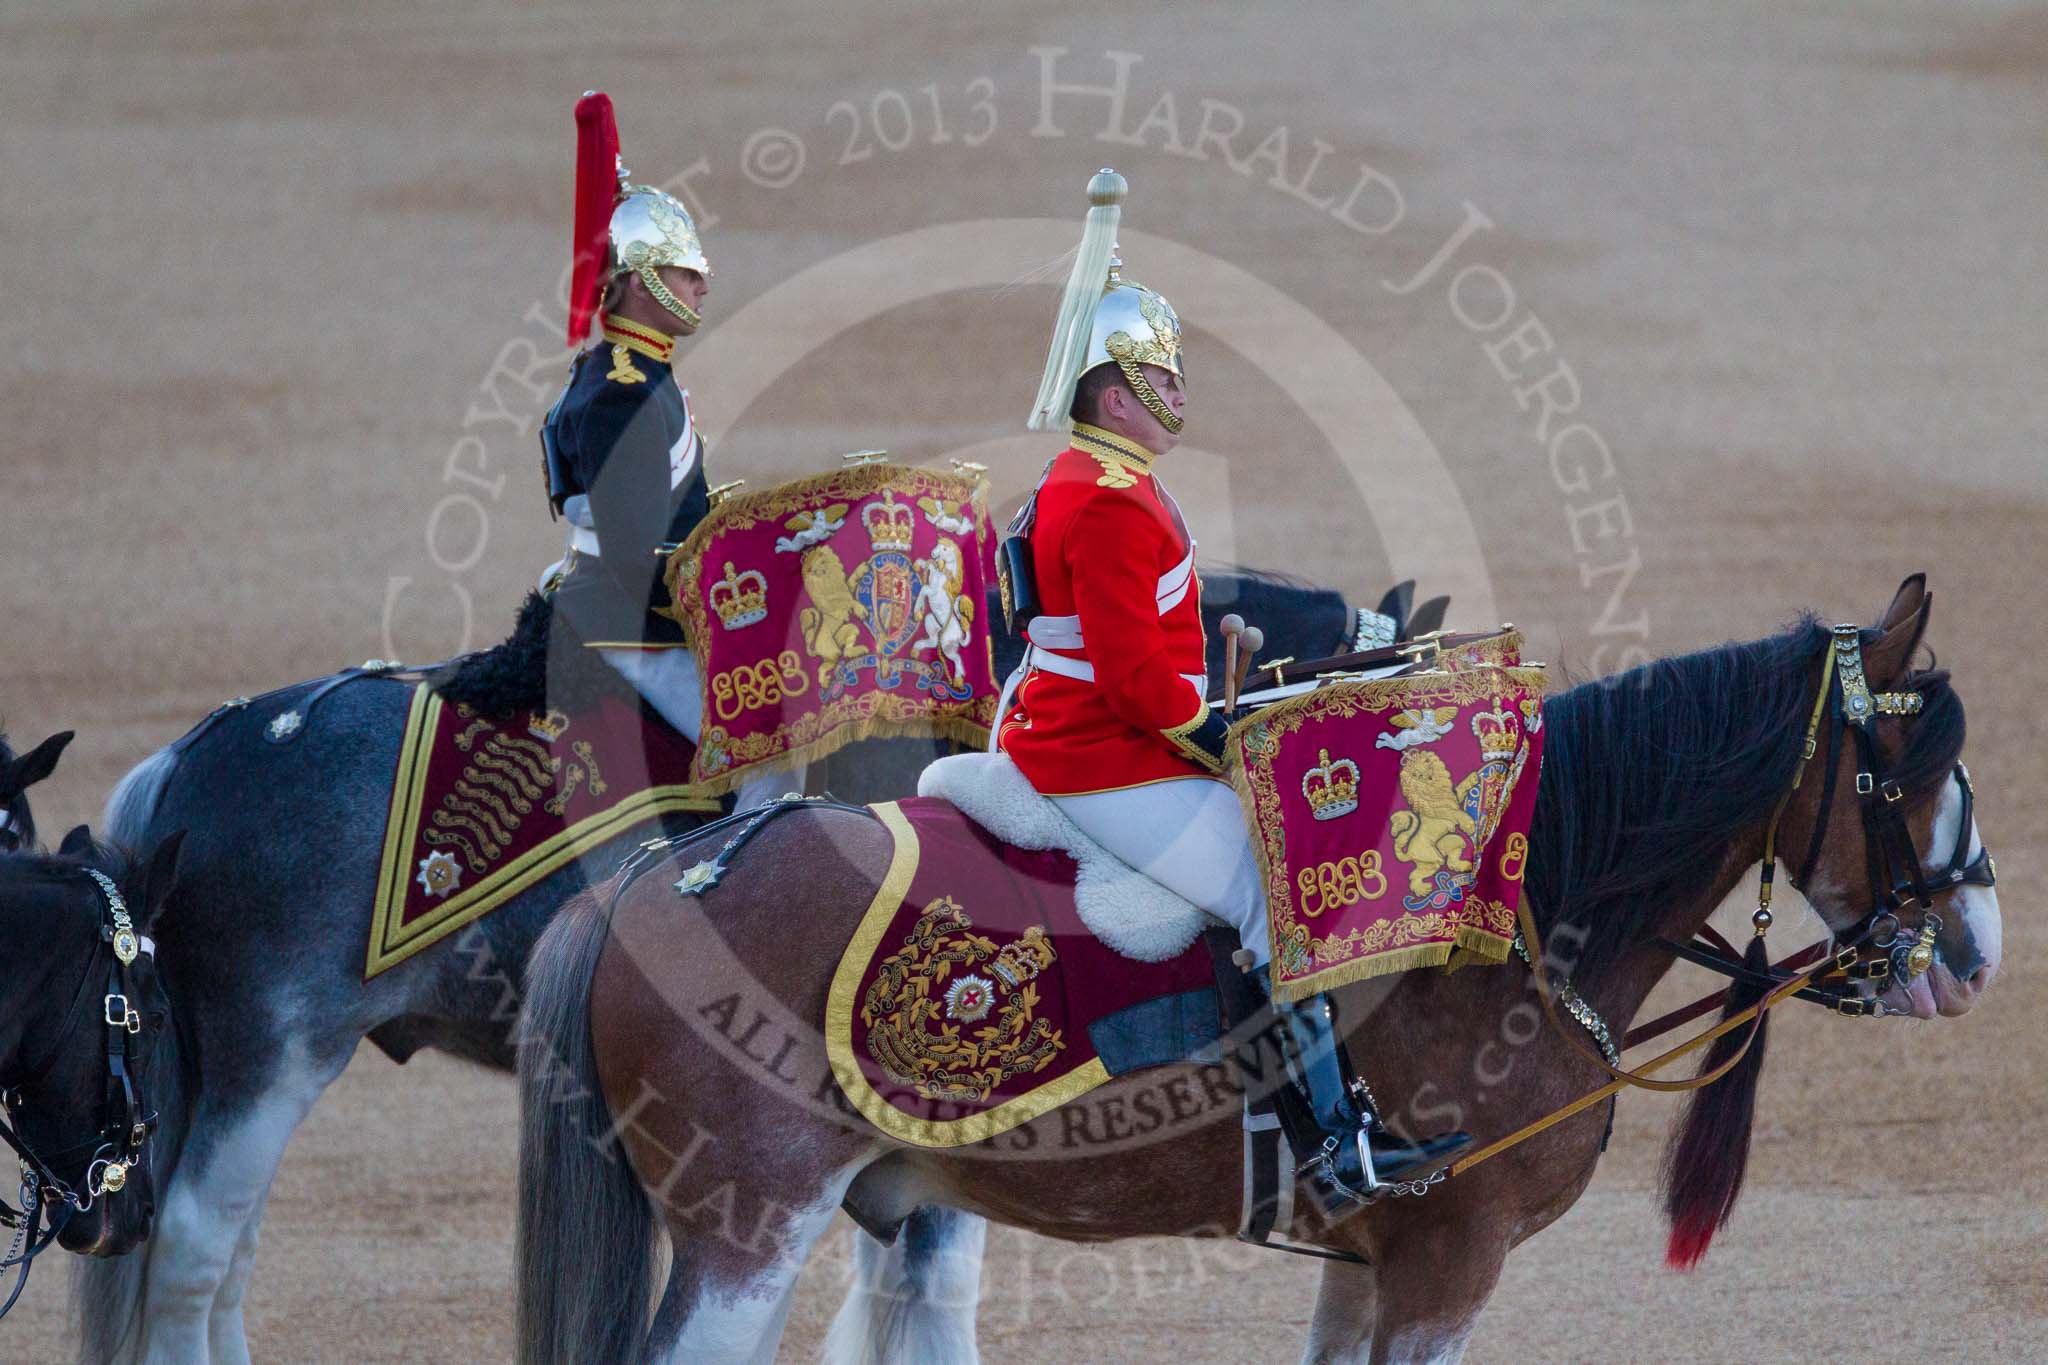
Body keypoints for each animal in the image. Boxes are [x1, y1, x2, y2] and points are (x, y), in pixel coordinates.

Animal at [513, 575, 2002, 1364]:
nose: (1980, 949)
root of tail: (661, 878)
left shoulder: (1369, 1260)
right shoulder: (1448, 1263)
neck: (1509, 921)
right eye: (1910, 770)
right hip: (748, 1233)